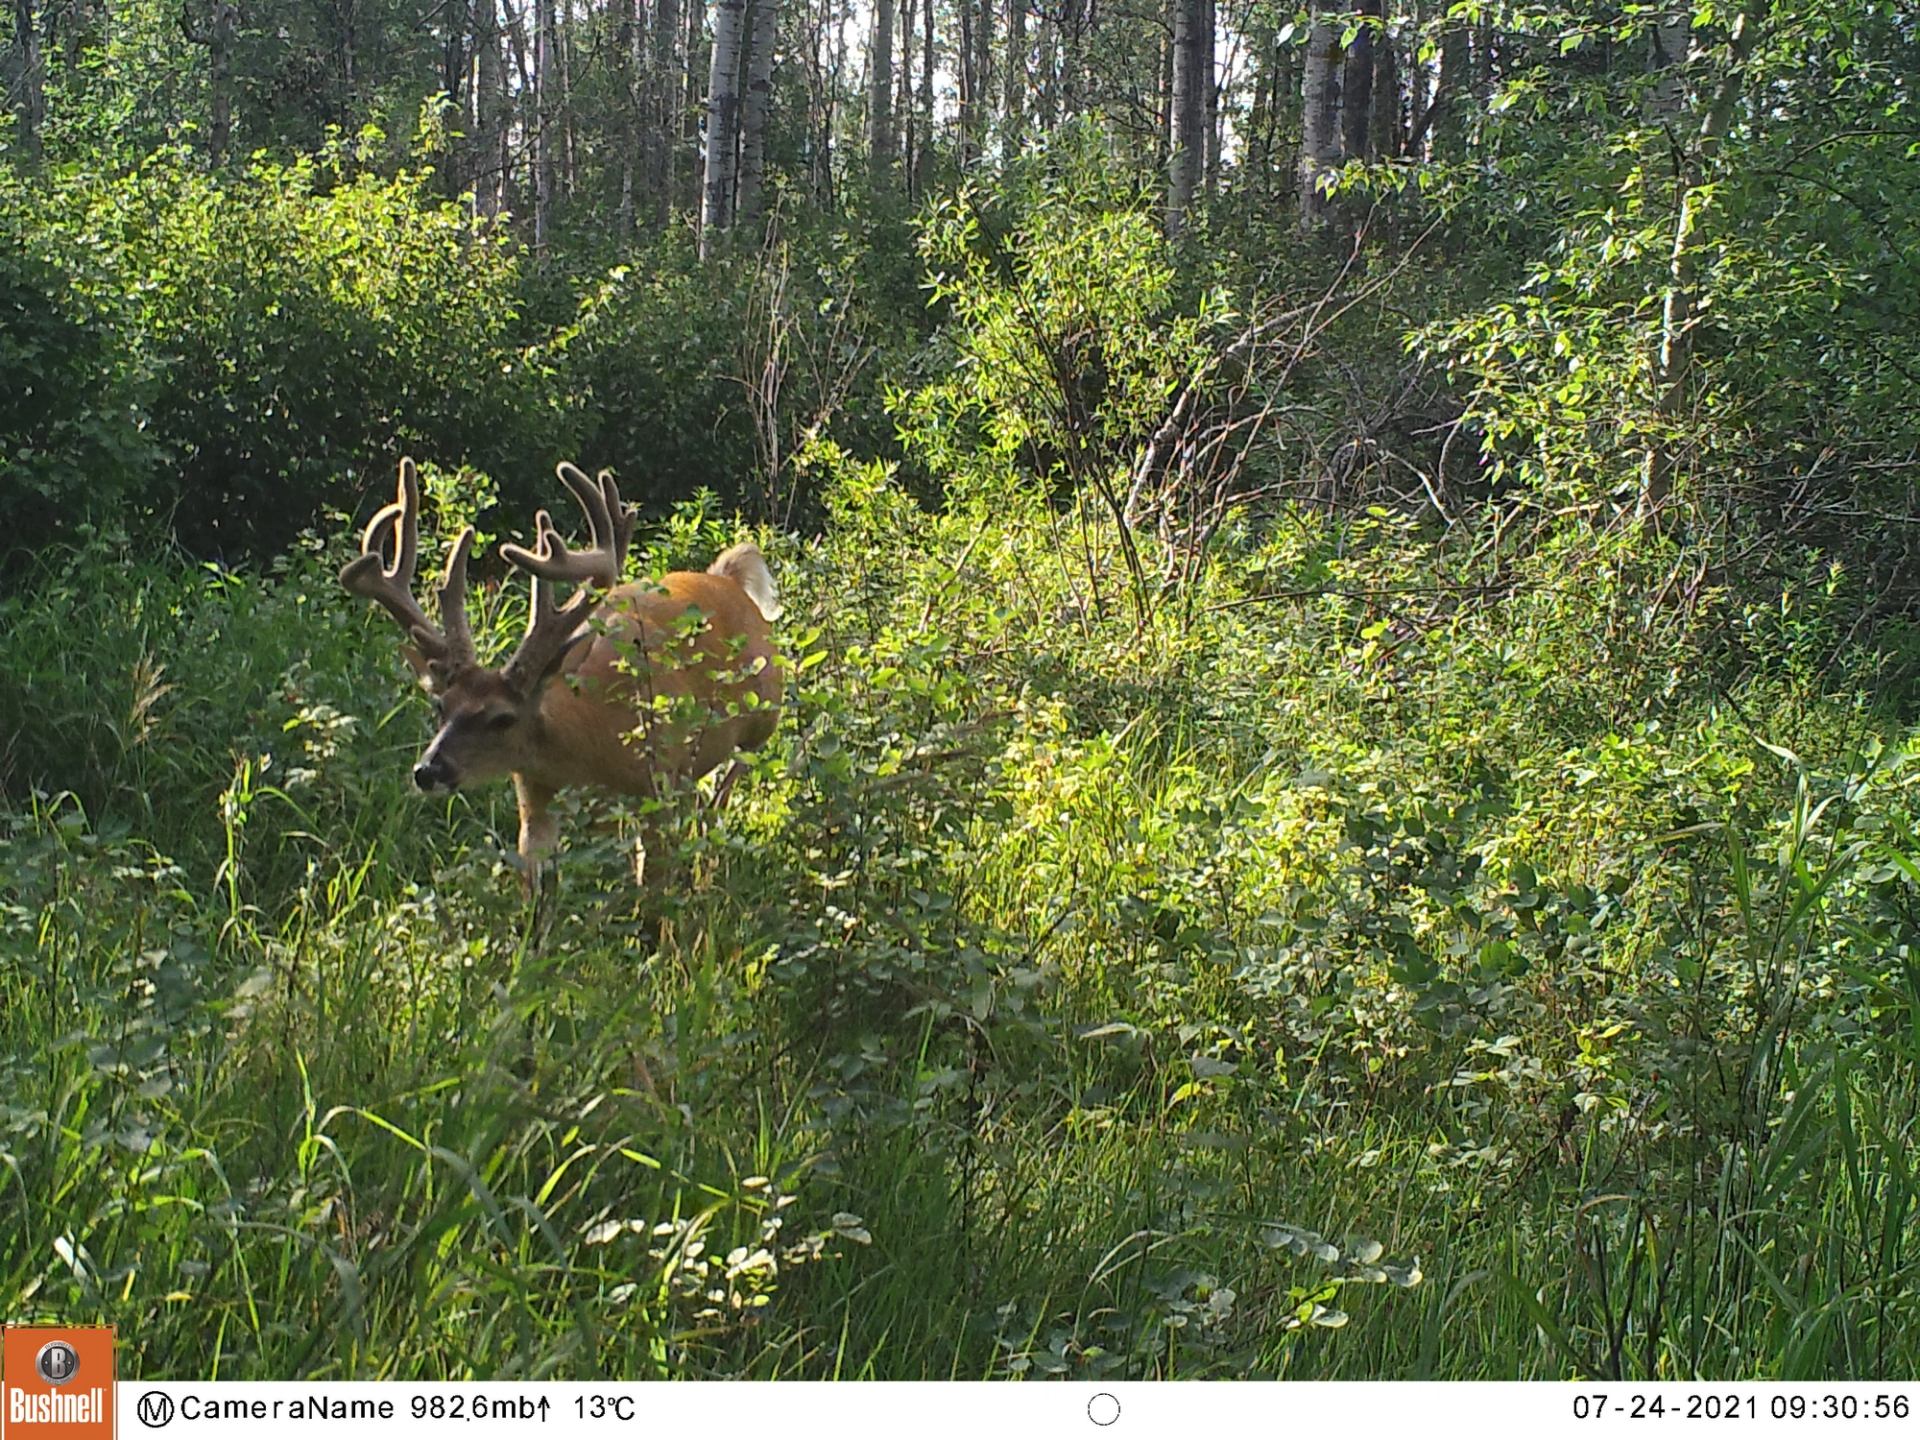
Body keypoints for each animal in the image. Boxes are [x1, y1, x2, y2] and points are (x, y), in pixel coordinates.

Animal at [341, 457, 782, 889]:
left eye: (503, 718)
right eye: (440, 707)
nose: (427, 771)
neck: (586, 738)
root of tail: (726, 579)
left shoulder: (658, 782)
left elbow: (652, 891)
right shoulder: (534, 795)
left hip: (762, 721)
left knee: (719, 800)